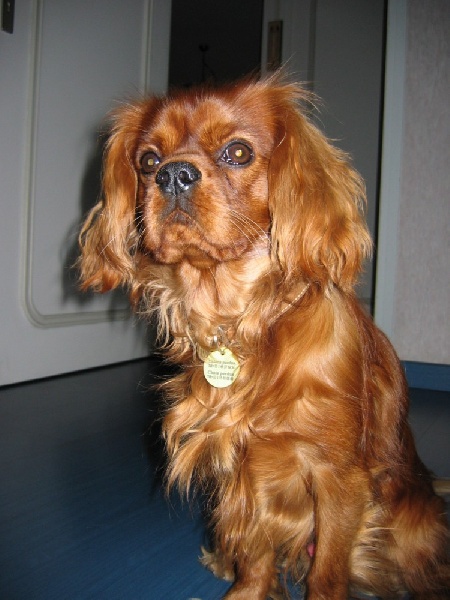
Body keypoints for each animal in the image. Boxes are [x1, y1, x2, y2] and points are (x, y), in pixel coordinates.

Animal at [78, 74, 449, 599]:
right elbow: (254, 555)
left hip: (409, 529)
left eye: (237, 152)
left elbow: (327, 573)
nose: (173, 175)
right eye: (148, 161)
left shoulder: (338, 478)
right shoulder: (239, 469)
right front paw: (247, 587)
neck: (239, 321)